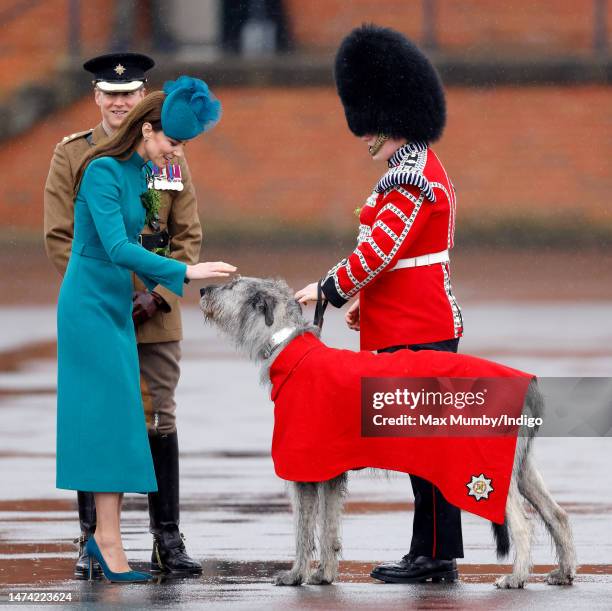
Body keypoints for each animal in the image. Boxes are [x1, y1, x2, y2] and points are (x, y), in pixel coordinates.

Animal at [202, 278, 580, 588]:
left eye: (232, 283)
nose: (203, 289)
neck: (289, 347)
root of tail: (528, 384)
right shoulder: (331, 470)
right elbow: (329, 527)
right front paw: (324, 574)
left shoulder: (303, 465)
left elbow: (303, 530)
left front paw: (296, 575)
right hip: (520, 465)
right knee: (557, 514)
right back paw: (563, 572)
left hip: (483, 467)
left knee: (522, 524)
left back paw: (516, 577)